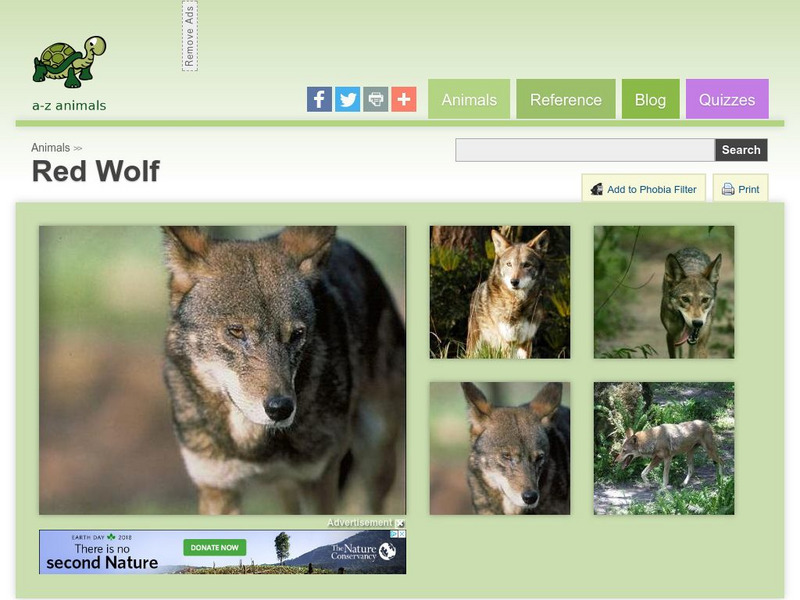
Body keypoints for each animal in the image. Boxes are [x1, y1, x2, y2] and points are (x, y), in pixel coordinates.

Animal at [162, 226, 405, 515]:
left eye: (296, 335)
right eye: (236, 331)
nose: (280, 409)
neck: (253, 445)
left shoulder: (318, 481)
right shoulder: (217, 488)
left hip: (376, 456)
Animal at [466, 229, 549, 359]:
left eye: (527, 265)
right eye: (509, 264)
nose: (514, 282)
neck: (518, 305)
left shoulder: (526, 342)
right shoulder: (506, 342)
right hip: (475, 347)